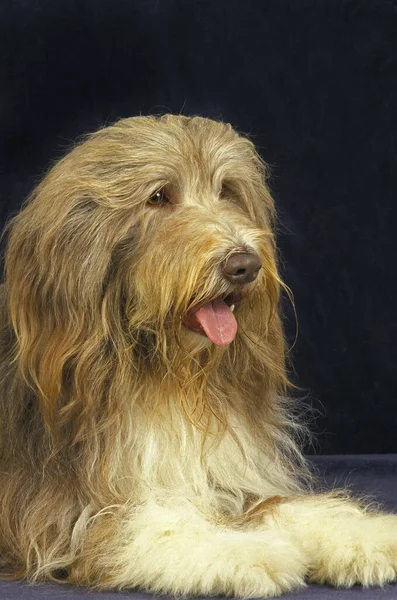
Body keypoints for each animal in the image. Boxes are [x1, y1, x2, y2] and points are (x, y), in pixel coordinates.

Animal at [0, 115, 396, 596]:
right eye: (158, 196)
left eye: (227, 190)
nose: (244, 265)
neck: (161, 372)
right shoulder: (56, 513)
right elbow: (154, 522)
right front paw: (247, 552)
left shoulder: (225, 477)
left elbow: (276, 504)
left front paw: (362, 536)